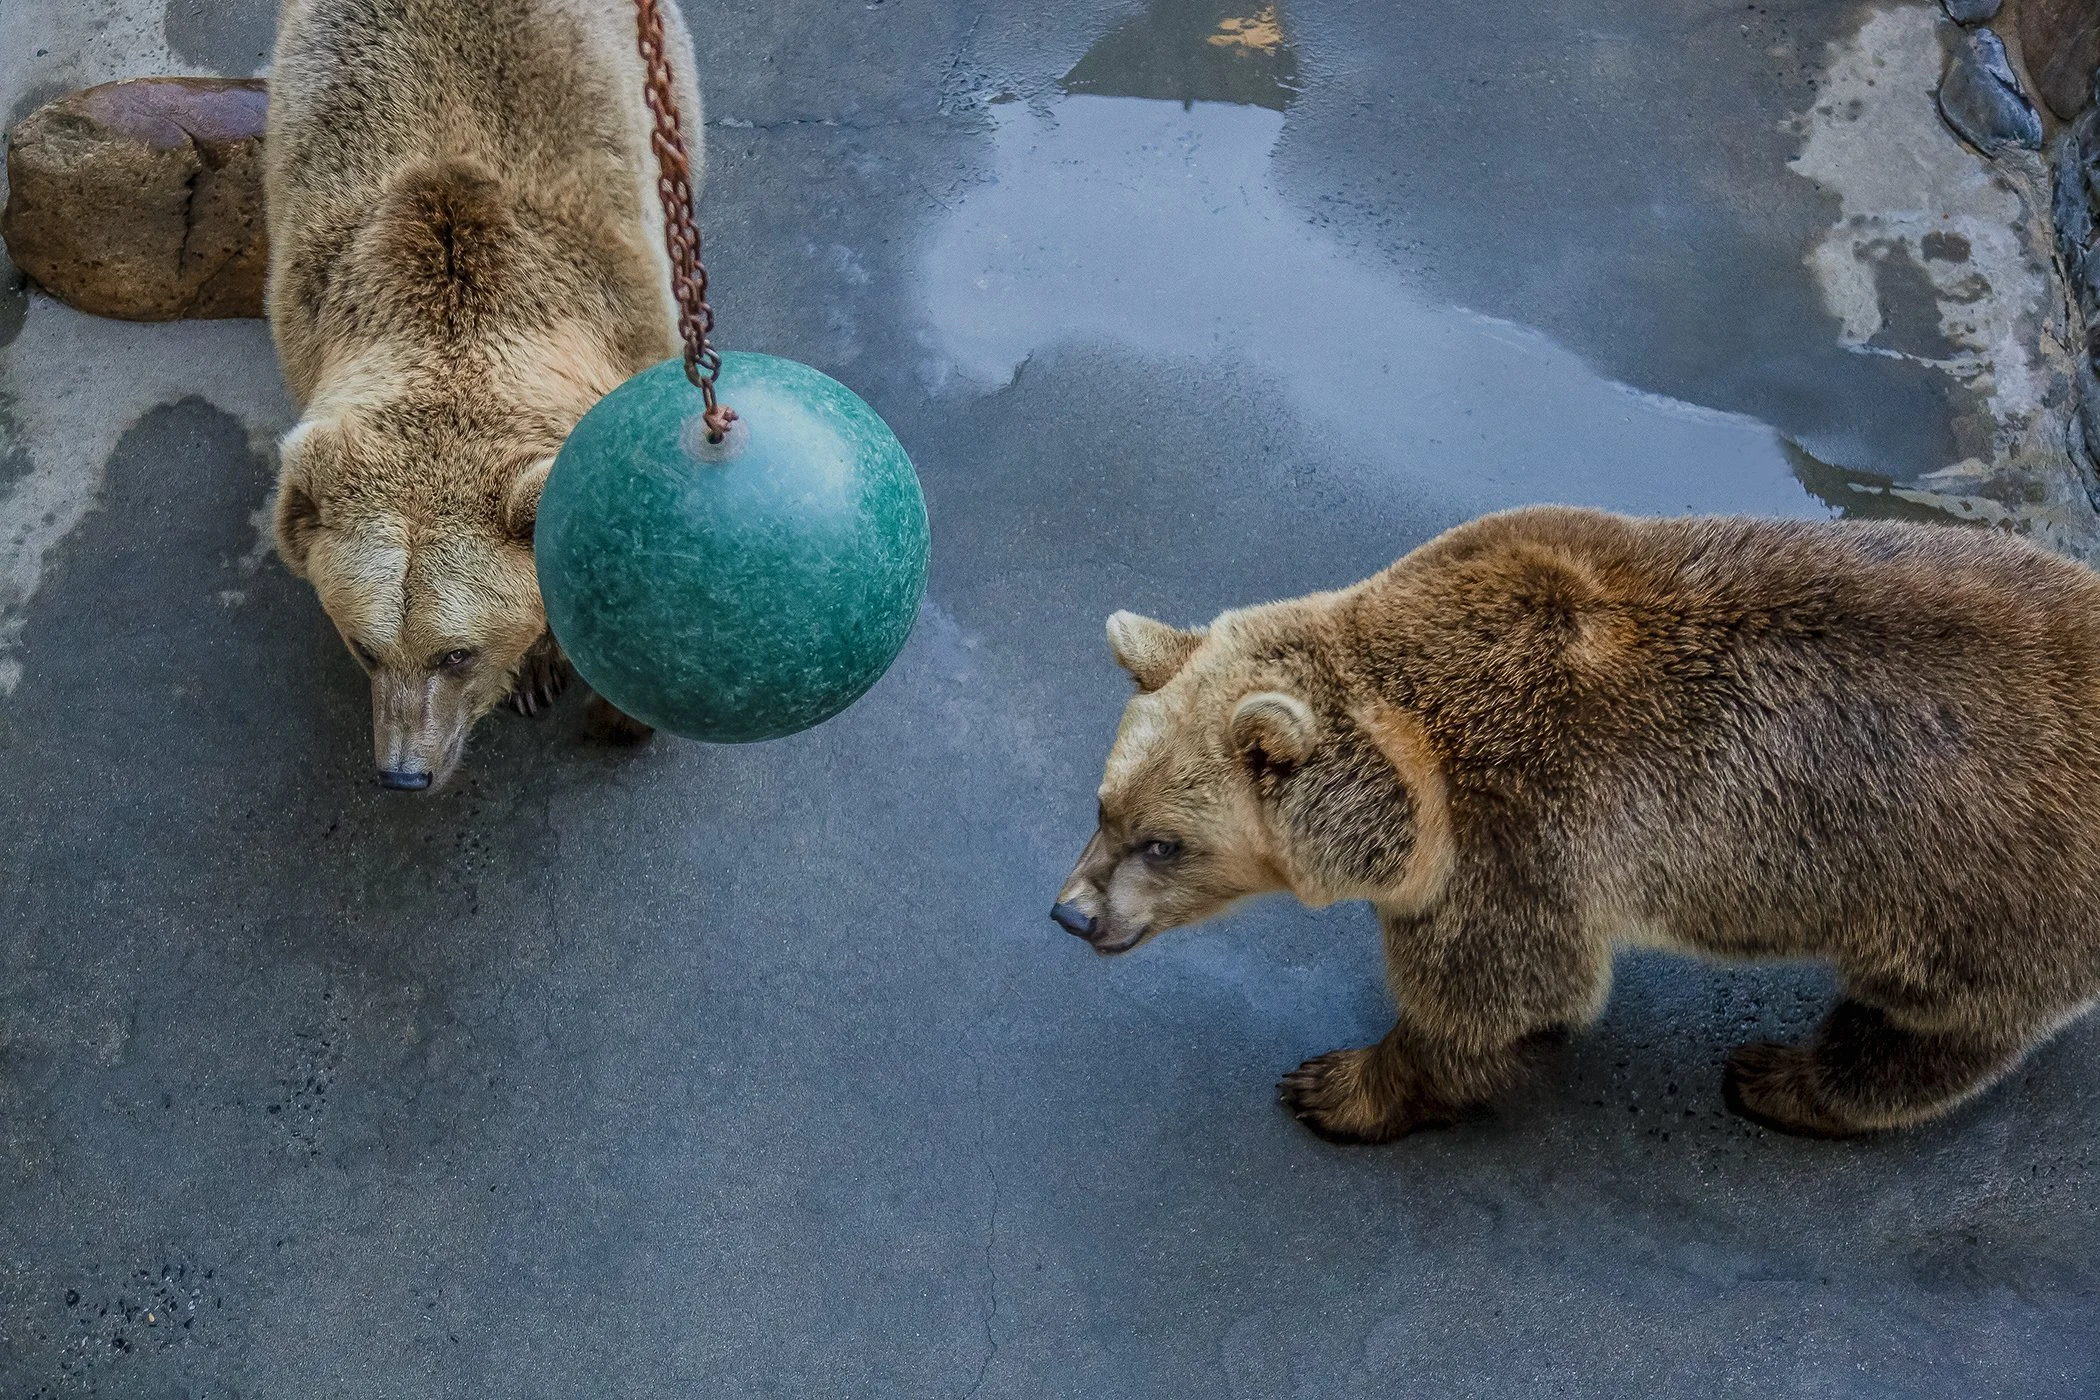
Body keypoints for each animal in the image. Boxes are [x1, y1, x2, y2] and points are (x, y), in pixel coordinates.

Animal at [1052, 505, 2100, 1142]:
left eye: (1163, 844)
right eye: (1102, 808)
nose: (1072, 913)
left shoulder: (1515, 832)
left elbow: (1497, 988)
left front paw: (1336, 1086)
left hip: (1980, 889)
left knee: (1929, 1021)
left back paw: (1780, 1079)